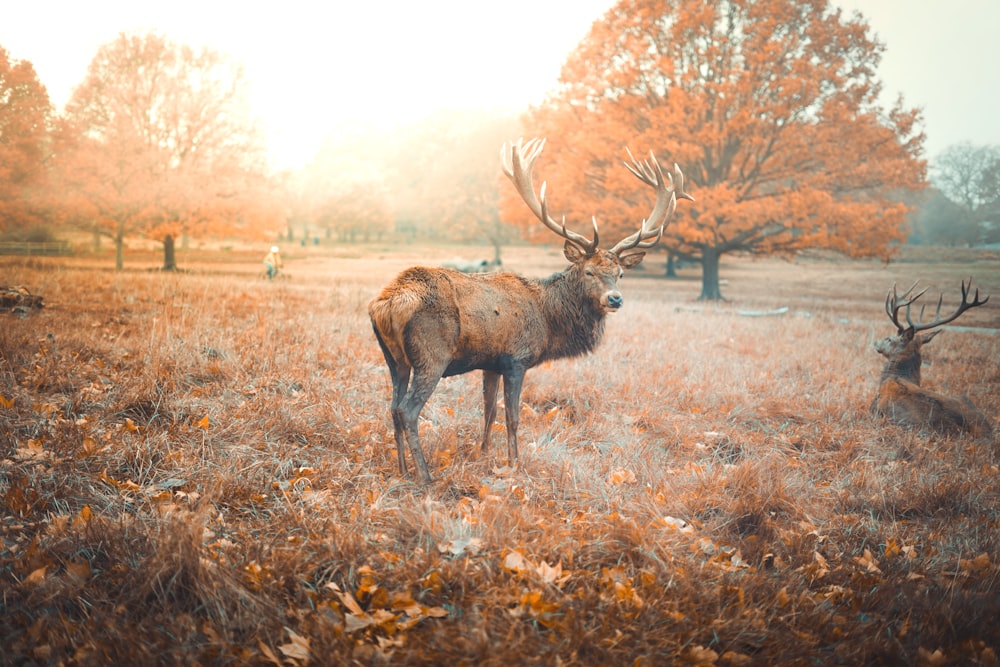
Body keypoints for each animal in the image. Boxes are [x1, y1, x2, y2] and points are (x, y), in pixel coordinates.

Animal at [370, 138, 696, 482]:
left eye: (620, 274)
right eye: (589, 271)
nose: (615, 299)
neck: (548, 319)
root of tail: (387, 302)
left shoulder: (491, 362)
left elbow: (489, 411)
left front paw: (484, 455)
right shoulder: (517, 358)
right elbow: (512, 417)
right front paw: (515, 464)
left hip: (394, 358)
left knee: (393, 407)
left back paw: (402, 469)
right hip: (431, 355)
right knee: (408, 410)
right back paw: (425, 476)